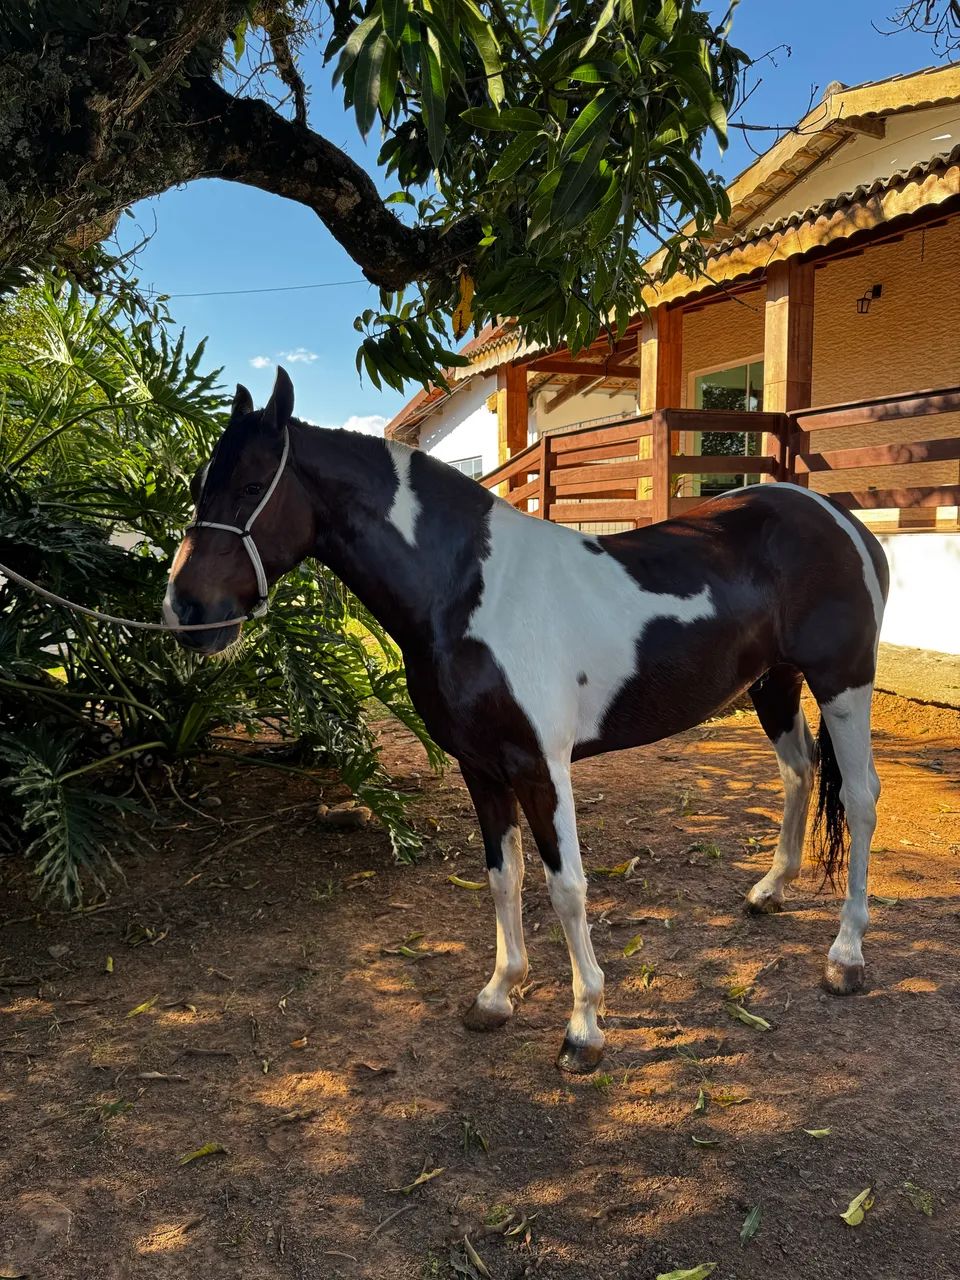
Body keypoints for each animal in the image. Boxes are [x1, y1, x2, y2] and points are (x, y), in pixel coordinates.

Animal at [165, 367, 888, 1073]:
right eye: (202, 486)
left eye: (252, 485)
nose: (185, 609)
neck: (467, 591)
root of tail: (840, 521)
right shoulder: (481, 766)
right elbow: (502, 876)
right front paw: (497, 995)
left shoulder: (542, 767)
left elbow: (565, 887)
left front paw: (584, 1029)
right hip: (775, 683)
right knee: (799, 773)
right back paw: (769, 891)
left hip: (842, 684)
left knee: (859, 797)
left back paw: (845, 955)